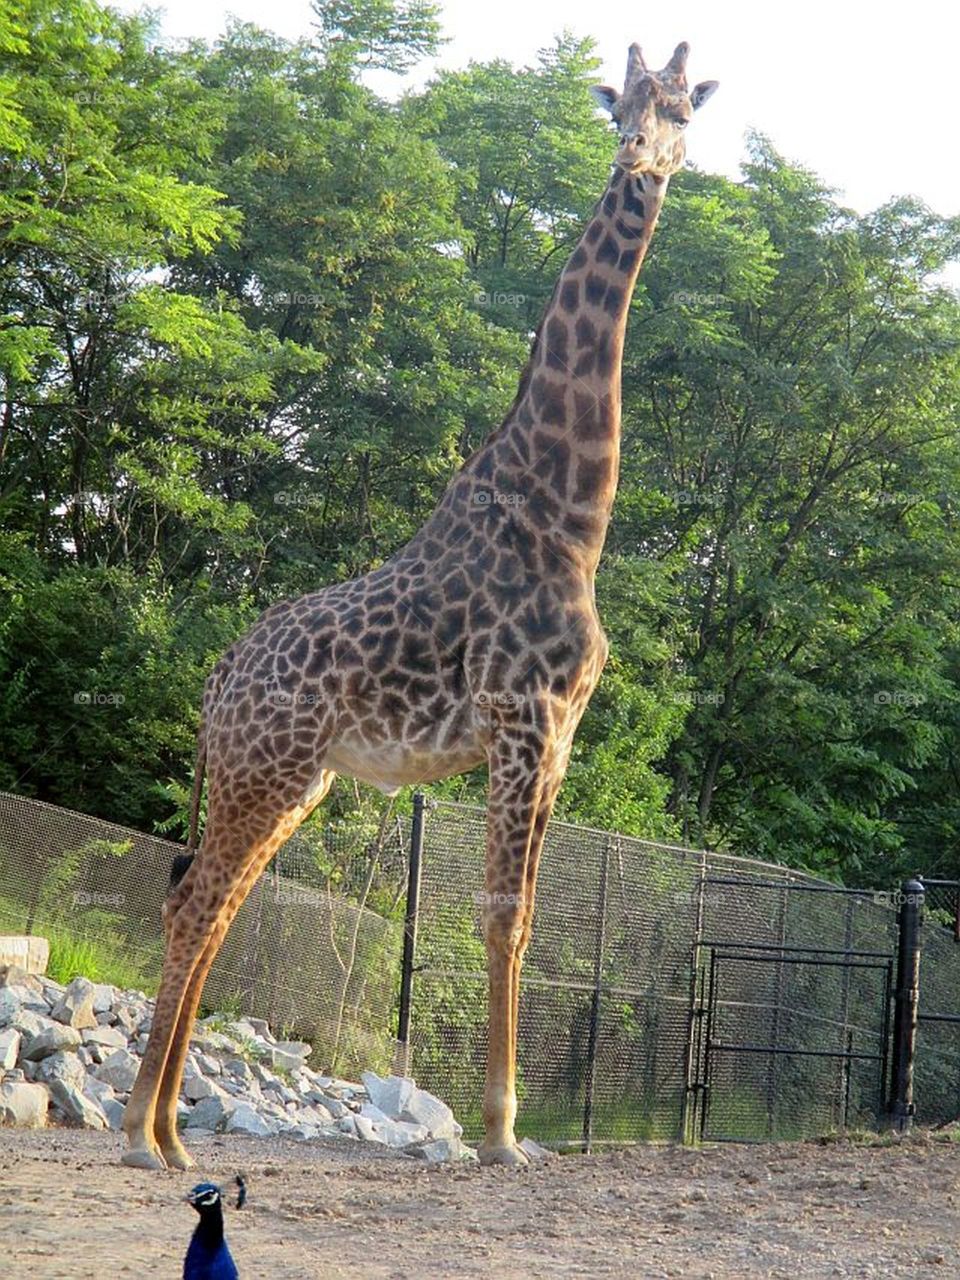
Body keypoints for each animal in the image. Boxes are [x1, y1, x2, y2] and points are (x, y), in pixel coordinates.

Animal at [122, 39, 718, 1171]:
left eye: (679, 110)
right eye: (620, 103)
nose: (637, 153)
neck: (569, 514)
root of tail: (214, 682)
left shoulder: (560, 734)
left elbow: (519, 917)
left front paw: (506, 1128)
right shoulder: (524, 719)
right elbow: (502, 918)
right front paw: (504, 1133)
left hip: (291, 778)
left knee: (210, 904)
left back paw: (173, 1132)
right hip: (269, 771)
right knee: (198, 903)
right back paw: (140, 1132)